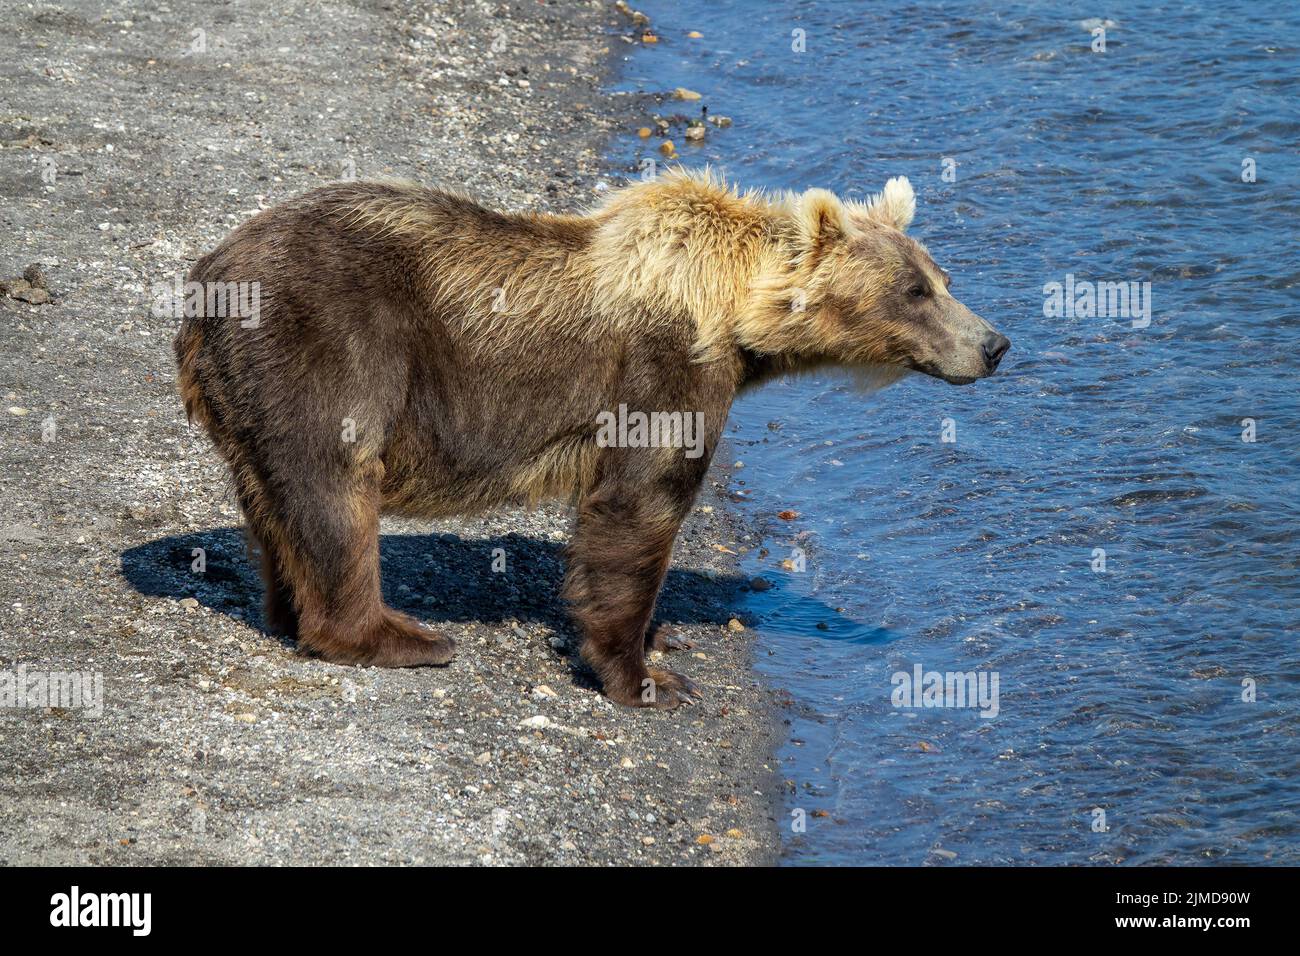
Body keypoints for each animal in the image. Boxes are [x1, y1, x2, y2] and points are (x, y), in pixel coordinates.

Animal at [170, 171, 1003, 712]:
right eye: (915, 291)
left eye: (943, 277)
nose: (994, 344)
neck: (734, 316)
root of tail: (204, 280)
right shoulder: (662, 372)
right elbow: (639, 505)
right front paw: (645, 676)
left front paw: (662, 644)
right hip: (326, 343)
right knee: (335, 484)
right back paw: (398, 635)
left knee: (274, 500)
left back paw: (290, 613)